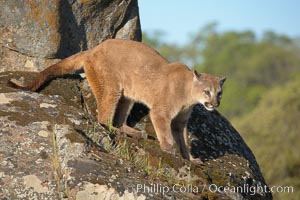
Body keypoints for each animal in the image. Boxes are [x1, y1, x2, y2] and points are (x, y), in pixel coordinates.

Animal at [8, 38, 225, 162]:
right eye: (207, 92)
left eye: (219, 93)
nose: (215, 104)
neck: (189, 95)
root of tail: (94, 48)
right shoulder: (160, 112)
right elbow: (166, 133)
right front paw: (169, 149)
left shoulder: (181, 122)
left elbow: (184, 140)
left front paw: (190, 158)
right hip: (112, 88)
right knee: (103, 117)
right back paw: (118, 131)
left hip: (127, 95)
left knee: (118, 118)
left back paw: (134, 132)